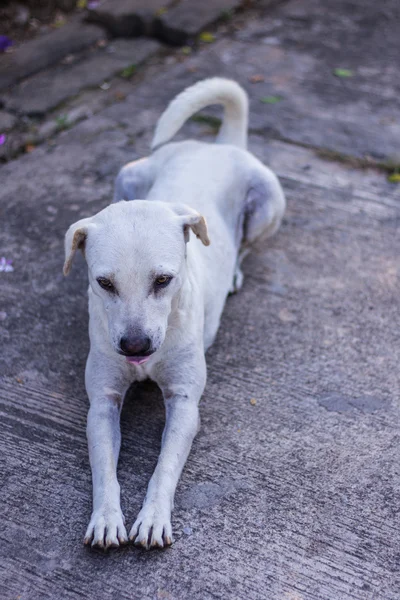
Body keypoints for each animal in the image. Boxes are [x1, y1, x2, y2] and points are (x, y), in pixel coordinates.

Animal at [64, 77, 286, 552]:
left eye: (163, 280)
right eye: (104, 283)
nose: (135, 346)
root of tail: (219, 144)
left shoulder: (185, 404)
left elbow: (164, 467)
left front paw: (151, 518)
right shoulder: (102, 402)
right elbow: (104, 470)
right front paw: (106, 518)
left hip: (268, 206)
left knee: (247, 243)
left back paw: (235, 271)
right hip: (127, 174)